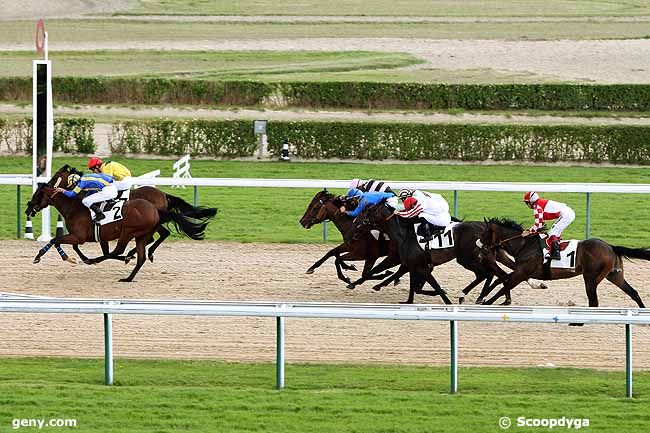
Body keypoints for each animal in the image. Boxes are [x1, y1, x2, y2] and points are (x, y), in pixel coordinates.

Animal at [474, 216, 644, 308]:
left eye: (483, 233)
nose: (479, 249)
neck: (524, 244)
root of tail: (611, 246)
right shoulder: (521, 271)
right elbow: (501, 280)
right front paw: (483, 297)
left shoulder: (522, 273)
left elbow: (504, 287)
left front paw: (487, 302)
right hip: (614, 275)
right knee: (633, 292)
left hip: (591, 278)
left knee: (594, 301)